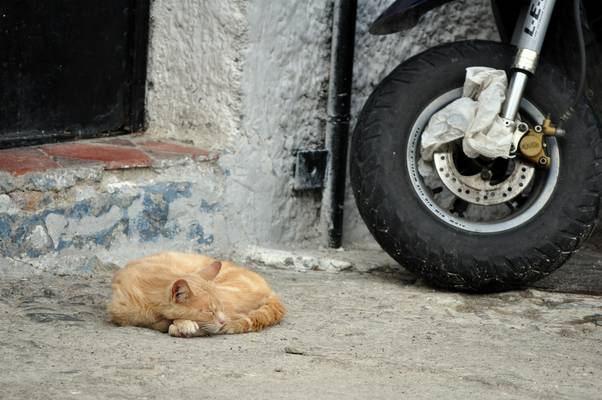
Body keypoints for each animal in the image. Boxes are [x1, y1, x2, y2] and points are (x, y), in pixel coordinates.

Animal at [106, 252, 284, 336]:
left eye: (219, 308)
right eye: (210, 311)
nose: (221, 320)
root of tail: (271, 291)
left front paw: (183, 324)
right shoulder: (120, 313)